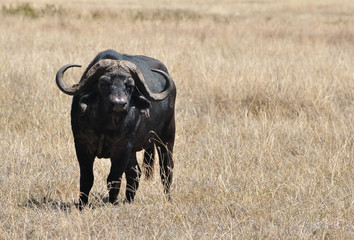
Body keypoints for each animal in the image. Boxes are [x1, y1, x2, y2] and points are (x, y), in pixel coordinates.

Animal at [55, 49, 176, 208]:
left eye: (130, 85)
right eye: (104, 83)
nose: (119, 103)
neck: (104, 125)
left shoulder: (123, 148)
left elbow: (113, 178)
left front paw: (112, 202)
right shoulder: (82, 145)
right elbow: (87, 178)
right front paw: (82, 204)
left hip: (166, 138)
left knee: (166, 170)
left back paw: (168, 199)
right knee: (135, 172)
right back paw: (129, 200)